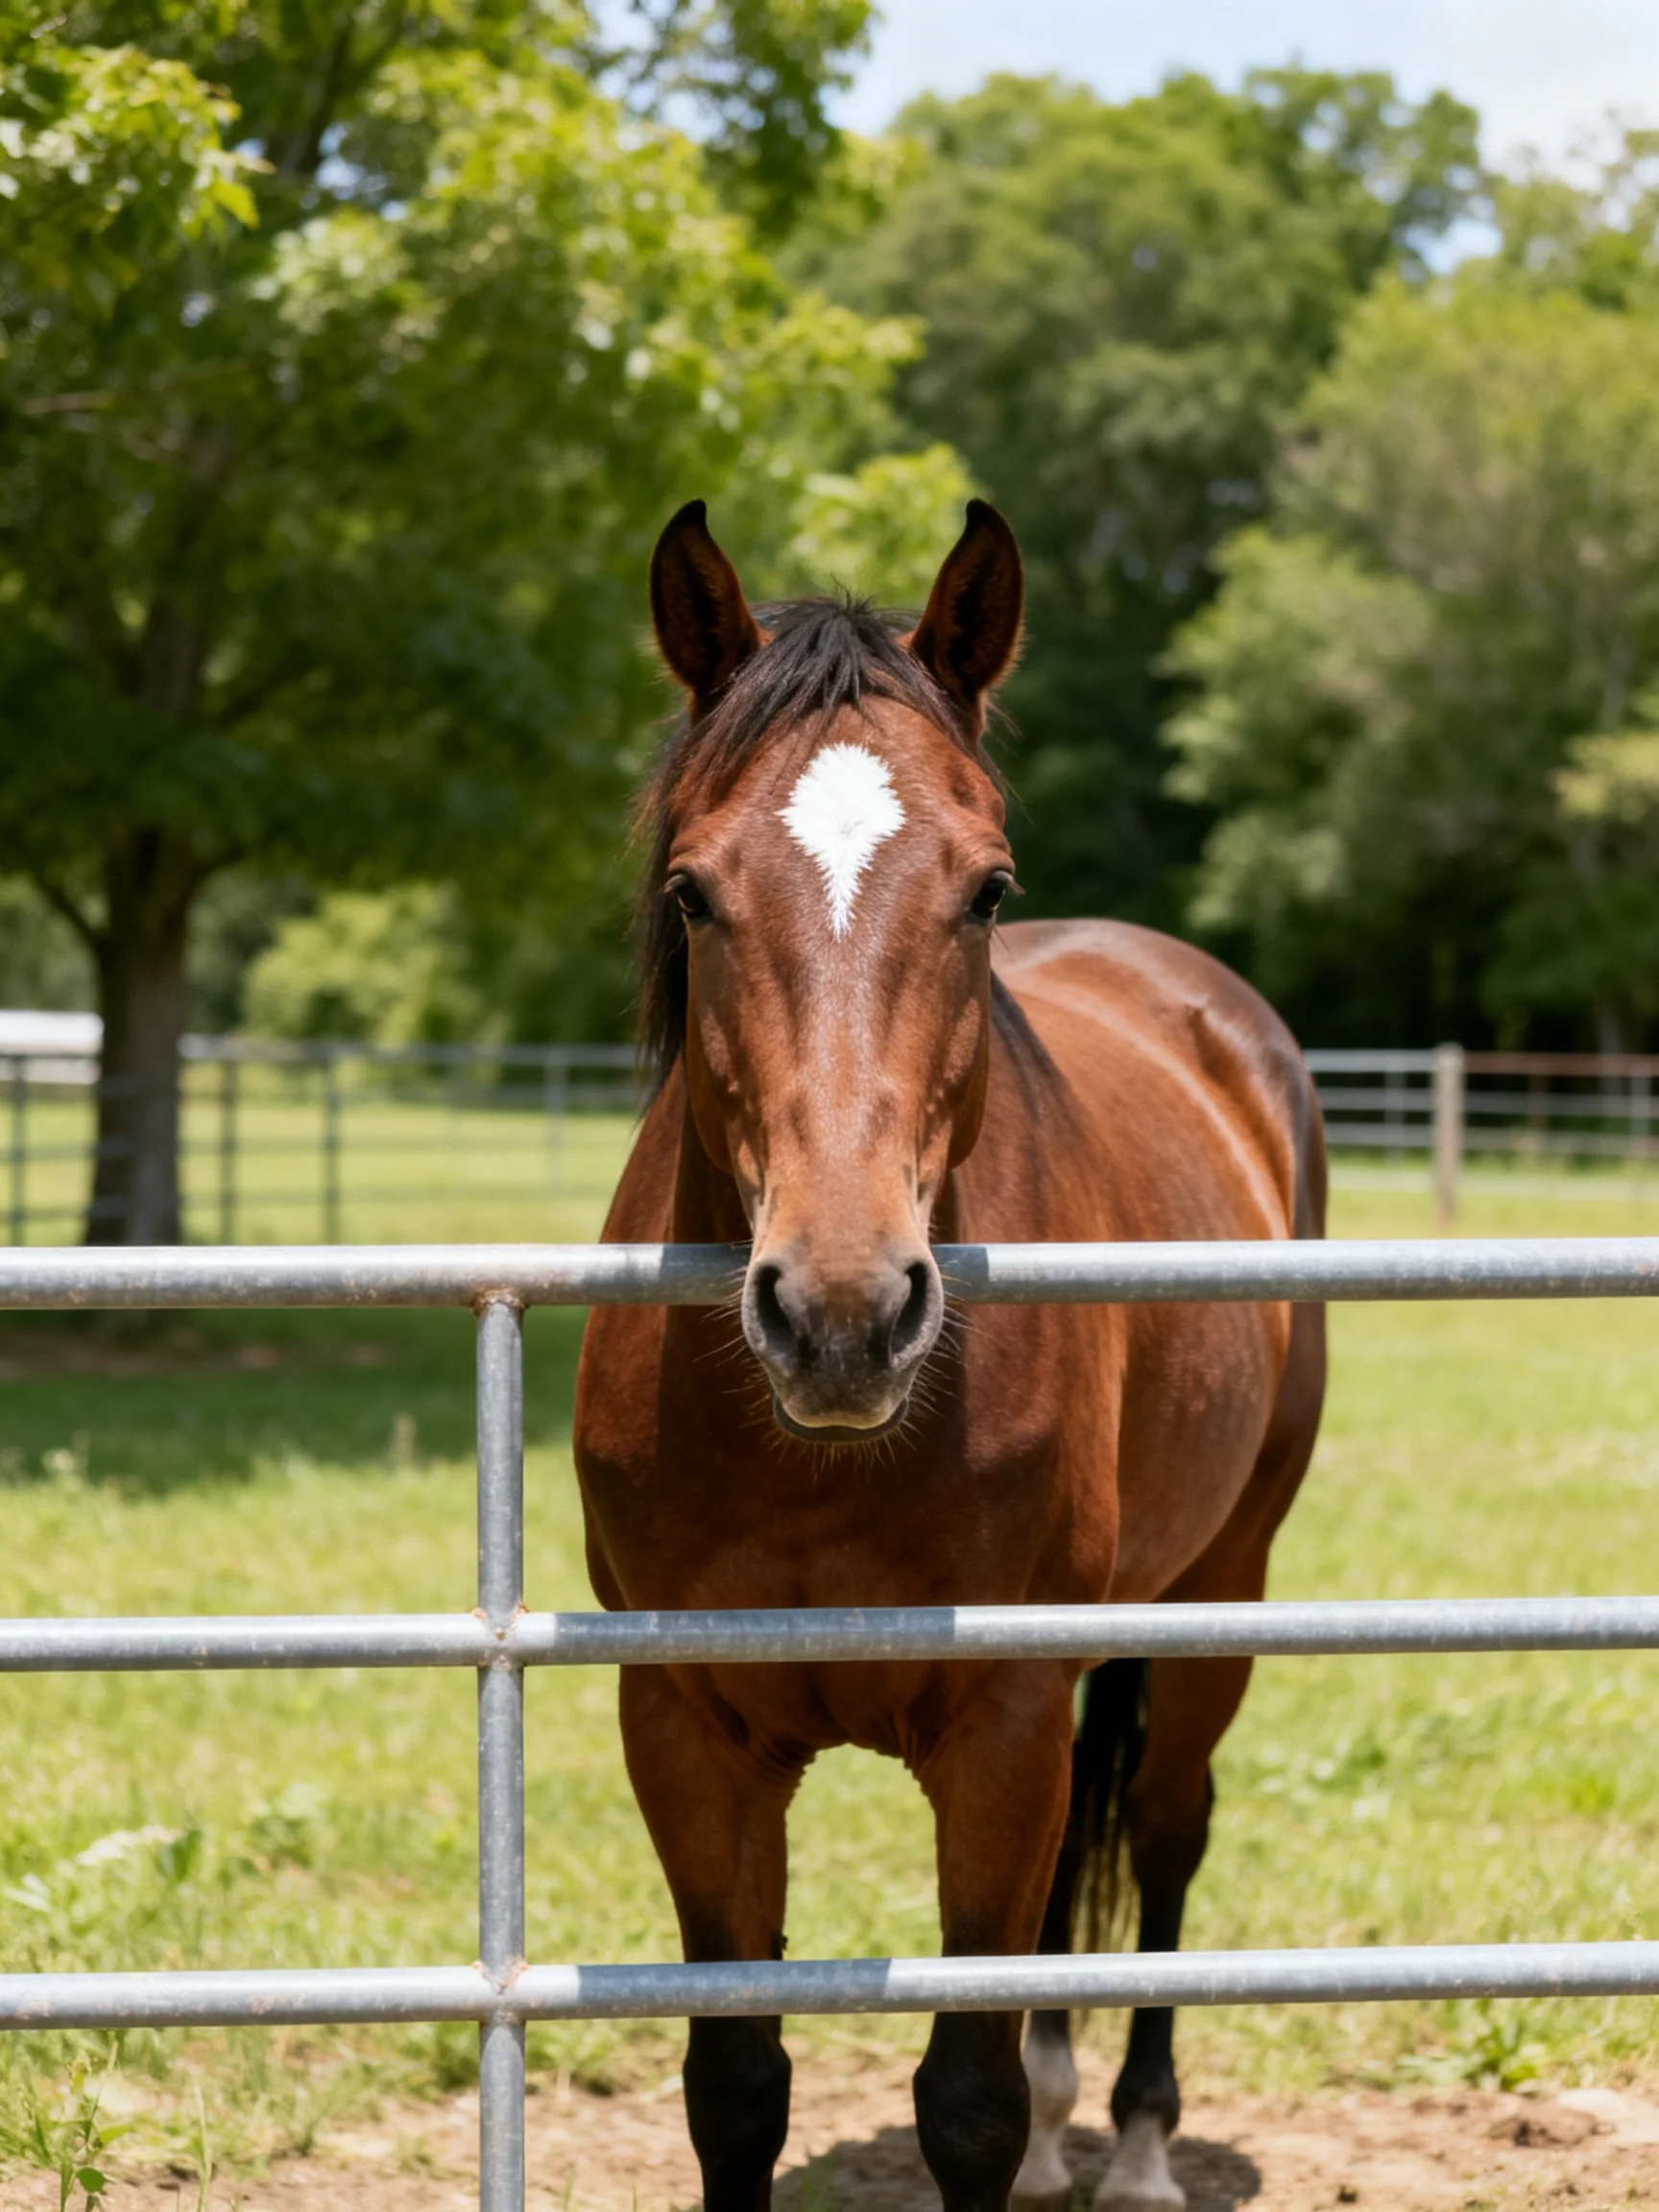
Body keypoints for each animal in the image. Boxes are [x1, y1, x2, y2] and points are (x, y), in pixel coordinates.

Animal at [572, 498, 1327, 2212]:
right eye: (693, 891)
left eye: (984, 890)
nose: (842, 1315)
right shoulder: (690, 1733)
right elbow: (736, 2089)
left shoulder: (1003, 1723)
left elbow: (964, 2099)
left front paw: (1036, 2128)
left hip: (1217, 1593)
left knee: (1165, 1839)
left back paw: (1134, 2146)